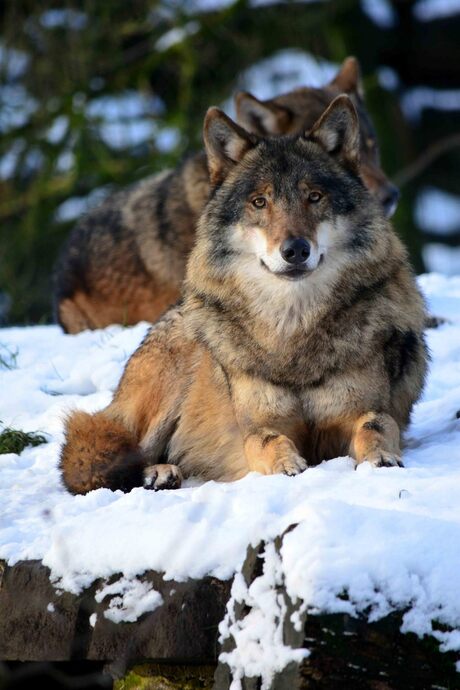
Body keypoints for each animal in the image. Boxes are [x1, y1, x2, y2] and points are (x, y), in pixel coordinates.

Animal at [59, 96, 428, 495]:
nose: (295, 250)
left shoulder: (363, 410)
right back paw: (156, 473)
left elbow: (375, 425)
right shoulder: (257, 426)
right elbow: (267, 441)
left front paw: (381, 459)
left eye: (314, 197)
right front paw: (287, 467)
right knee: (106, 455)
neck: (292, 329)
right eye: (259, 202)